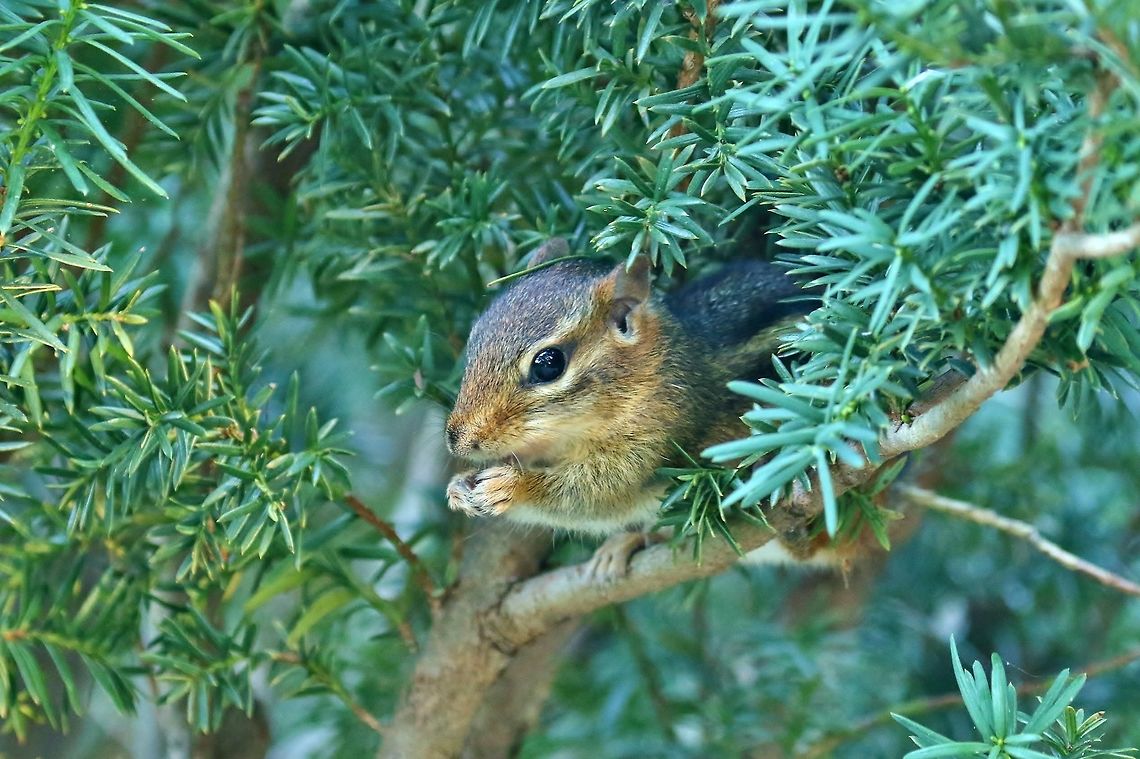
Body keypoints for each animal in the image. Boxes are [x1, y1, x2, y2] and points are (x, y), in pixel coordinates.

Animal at [445, 237, 820, 576]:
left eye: (548, 364)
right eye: (474, 336)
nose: (456, 439)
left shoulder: (656, 441)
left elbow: (589, 498)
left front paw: (511, 486)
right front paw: (459, 487)